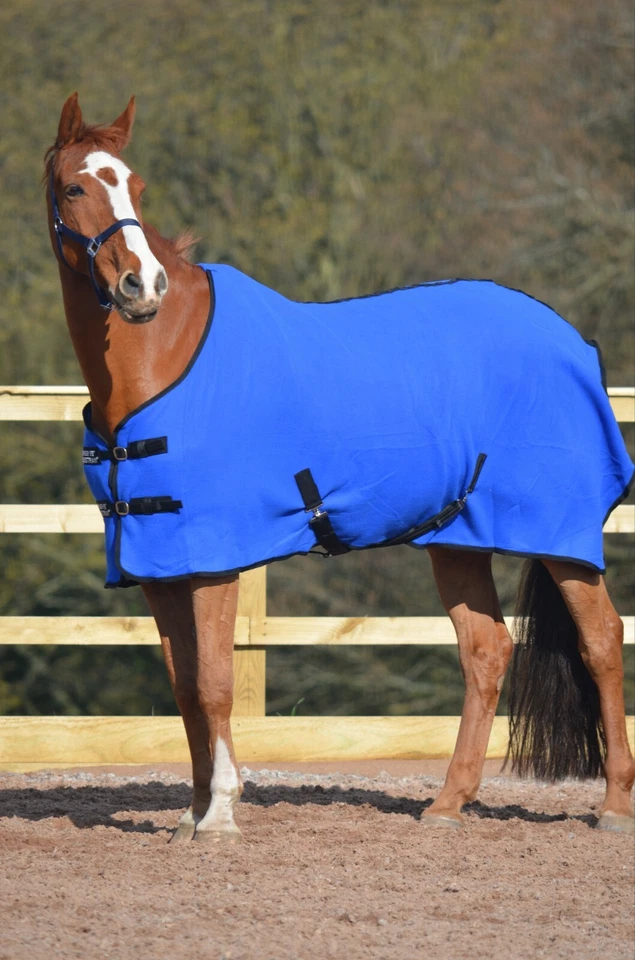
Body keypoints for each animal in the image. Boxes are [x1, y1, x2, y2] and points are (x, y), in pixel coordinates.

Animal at [45, 93, 634, 842]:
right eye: (74, 188)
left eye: (137, 187)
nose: (140, 286)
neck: (163, 359)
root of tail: (573, 342)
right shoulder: (156, 563)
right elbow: (183, 687)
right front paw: (191, 813)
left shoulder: (211, 557)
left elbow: (213, 683)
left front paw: (221, 815)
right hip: (457, 539)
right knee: (487, 651)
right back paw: (447, 804)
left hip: (559, 535)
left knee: (601, 641)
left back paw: (613, 805)